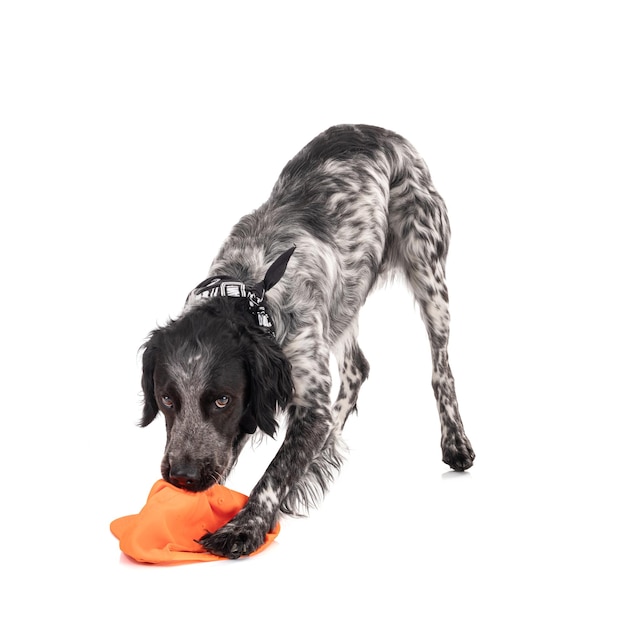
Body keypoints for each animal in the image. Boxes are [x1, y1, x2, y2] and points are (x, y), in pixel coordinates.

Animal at [140, 122, 474, 556]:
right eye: (166, 398)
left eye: (222, 400)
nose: (184, 475)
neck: (250, 291)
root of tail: (384, 131)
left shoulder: (309, 403)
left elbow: (275, 472)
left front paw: (242, 528)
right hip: (347, 300)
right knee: (358, 368)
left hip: (428, 272)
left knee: (441, 369)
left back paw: (455, 441)